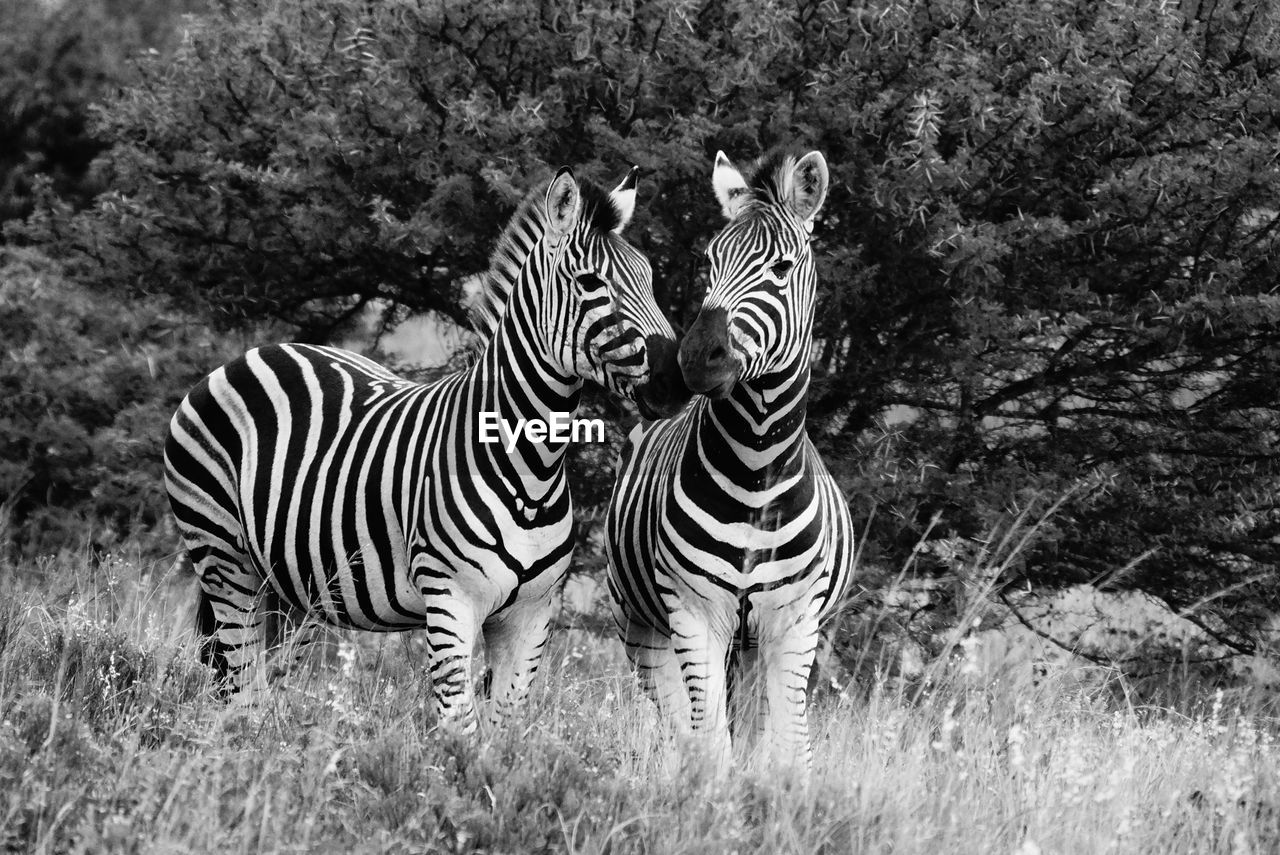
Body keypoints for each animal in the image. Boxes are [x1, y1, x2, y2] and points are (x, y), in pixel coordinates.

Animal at [170, 165, 691, 727]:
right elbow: (459, 726)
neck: (531, 467)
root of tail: (253, 352)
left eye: (650, 279)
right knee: (243, 689)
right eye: (592, 283)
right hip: (224, 559)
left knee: (256, 686)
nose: (678, 382)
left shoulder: (532, 613)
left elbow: (504, 728)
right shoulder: (450, 599)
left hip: (290, 584)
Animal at [604, 147, 855, 767]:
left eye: (783, 269)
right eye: (711, 260)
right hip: (641, 628)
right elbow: (710, 746)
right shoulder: (694, 615)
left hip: (757, 645)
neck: (756, 467)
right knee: (682, 727)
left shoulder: (795, 624)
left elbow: (791, 751)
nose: (694, 358)